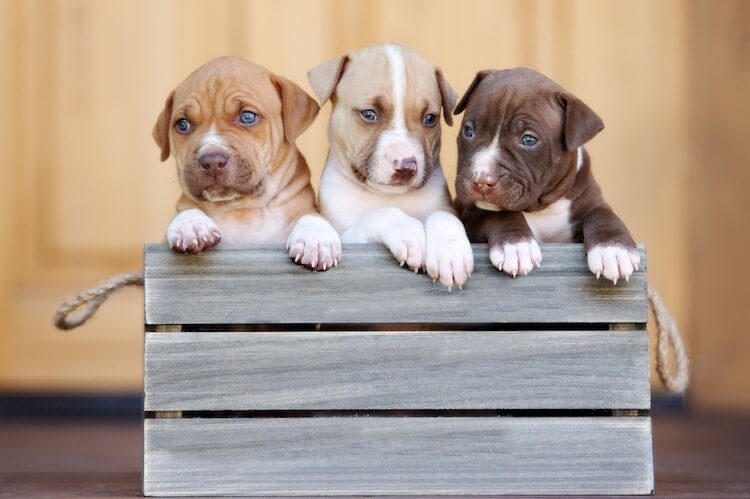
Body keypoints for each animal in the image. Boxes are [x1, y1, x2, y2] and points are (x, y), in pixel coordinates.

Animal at [154, 56, 342, 272]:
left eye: (247, 116)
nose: (211, 161)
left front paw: (316, 238)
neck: (242, 208)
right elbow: (184, 211)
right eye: (183, 124)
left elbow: (311, 215)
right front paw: (191, 224)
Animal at [312, 45, 476, 292]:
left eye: (430, 119)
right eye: (369, 114)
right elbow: (383, 213)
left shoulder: (443, 206)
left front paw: (451, 253)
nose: (406, 166)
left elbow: (443, 217)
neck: (388, 195)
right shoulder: (347, 235)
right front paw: (407, 231)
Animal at [456, 68, 636, 284]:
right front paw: (516, 246)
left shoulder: (590, 201)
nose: (482, 180)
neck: (541, 208)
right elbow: (499, 214)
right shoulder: (469, 219)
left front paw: (614, 249)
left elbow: (603, 214)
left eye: (528, 140)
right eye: (468, 131)